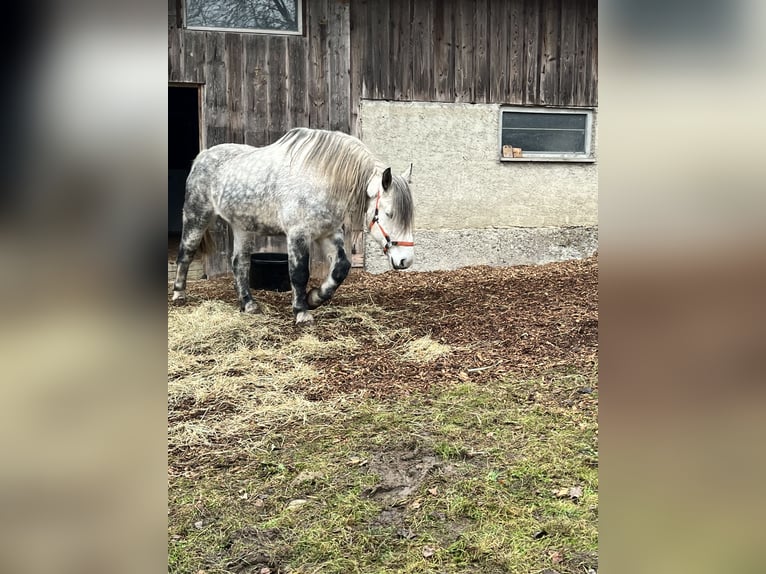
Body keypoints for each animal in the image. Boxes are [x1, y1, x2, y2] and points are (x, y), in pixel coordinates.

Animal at [172, 127, 416, 324]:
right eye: (389, 214)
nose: (406, 260)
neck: (322, 177)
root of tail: (202, 156)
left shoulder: (328, 232)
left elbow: (341, 267)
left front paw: (314, 298)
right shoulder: (298, 234)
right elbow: (299, 273)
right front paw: (301, 312)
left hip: (243, 227)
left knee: (239, 263)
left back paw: (248, 304)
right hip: (197, 216)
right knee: (186, 253)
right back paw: (179, 295)